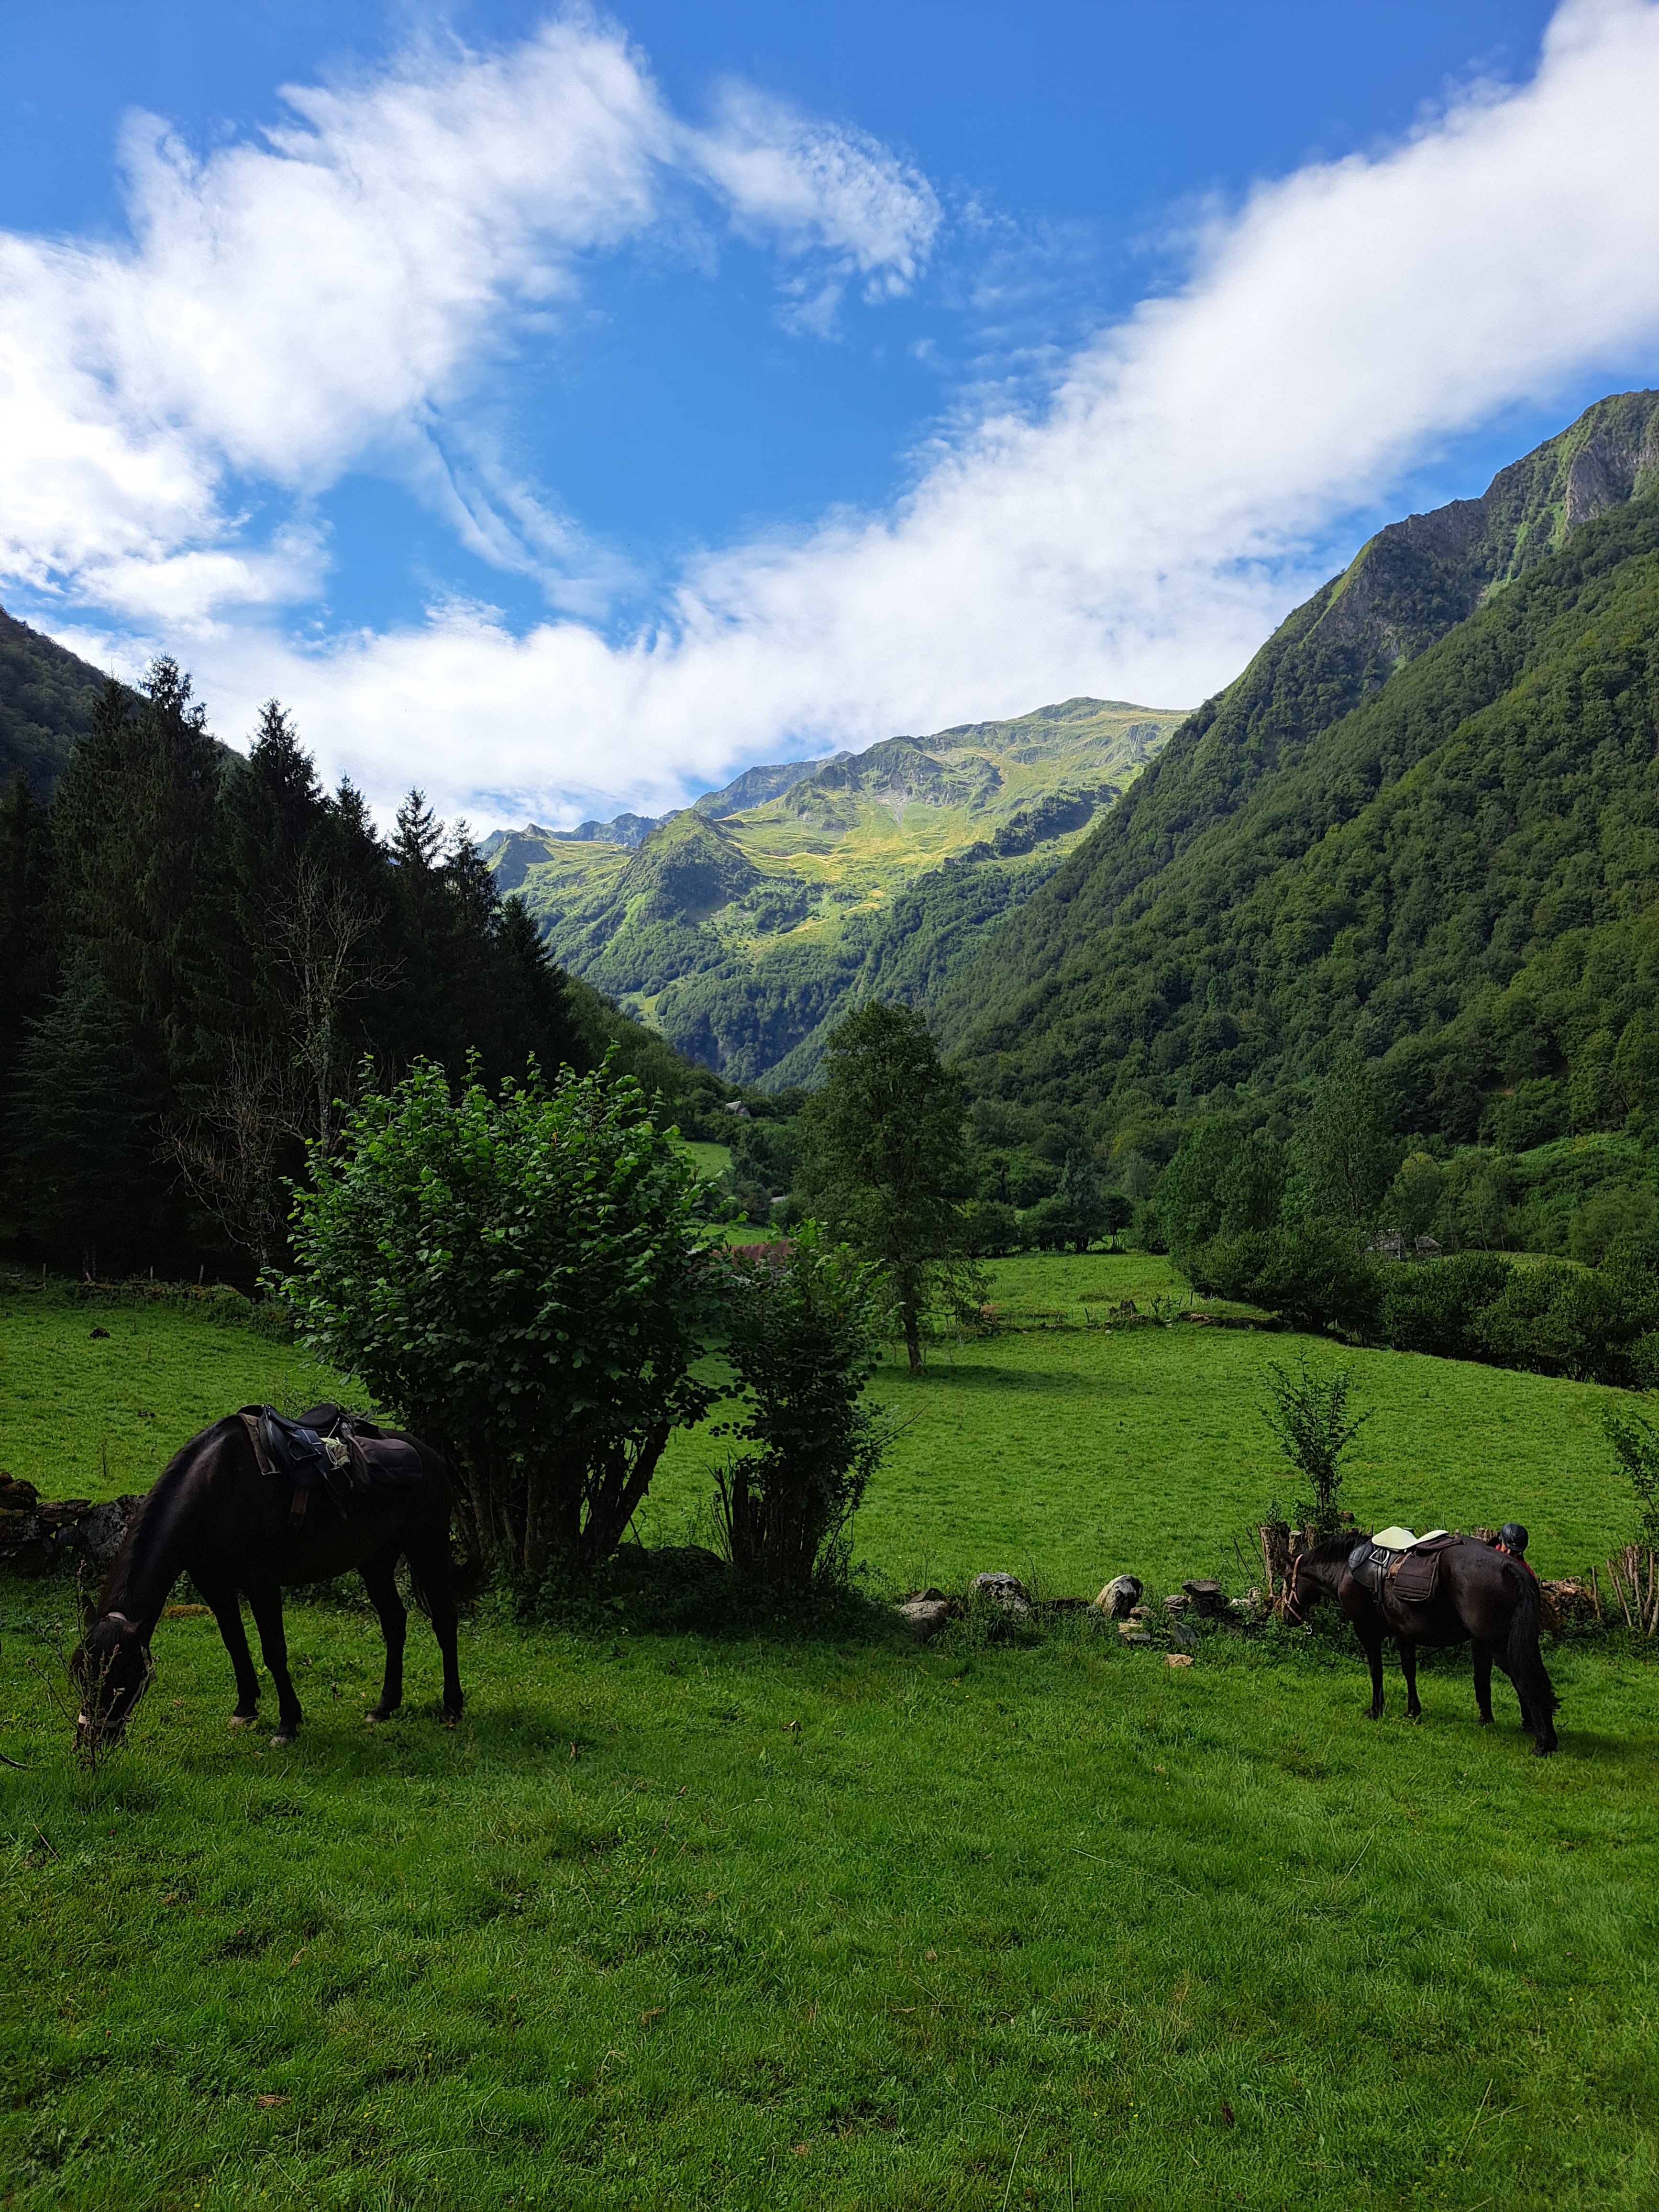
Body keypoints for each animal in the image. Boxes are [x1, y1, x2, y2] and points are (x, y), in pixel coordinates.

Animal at [72, 1404, 465, 1751]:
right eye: (77, 1674)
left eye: (120, 1678)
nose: (89, 1742)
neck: (214, 1488)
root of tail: (430, 1456)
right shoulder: (213, 1585)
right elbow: (235, 1643)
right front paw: (245, 1710)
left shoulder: (262, 1584)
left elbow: (274, 1650)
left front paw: (288, 1724)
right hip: (375, 1562)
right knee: (395, 1623)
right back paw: (384, 1707)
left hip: (427, 1548)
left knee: (444, 1620)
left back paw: (452, 1706)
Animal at [1285, 1530, 1559, 1756]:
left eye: (1287, 1580)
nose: (1288, 1616)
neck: (1347, 1570)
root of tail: (1511, 1568)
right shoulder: (1404, 1635)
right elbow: (1409, 1671)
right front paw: (1412, 1711)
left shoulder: (1368, 1633)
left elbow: (1376, 1672)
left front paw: (1376, 1710)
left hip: (1499, 1645)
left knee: (1525, 1681)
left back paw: (1543, 1742)